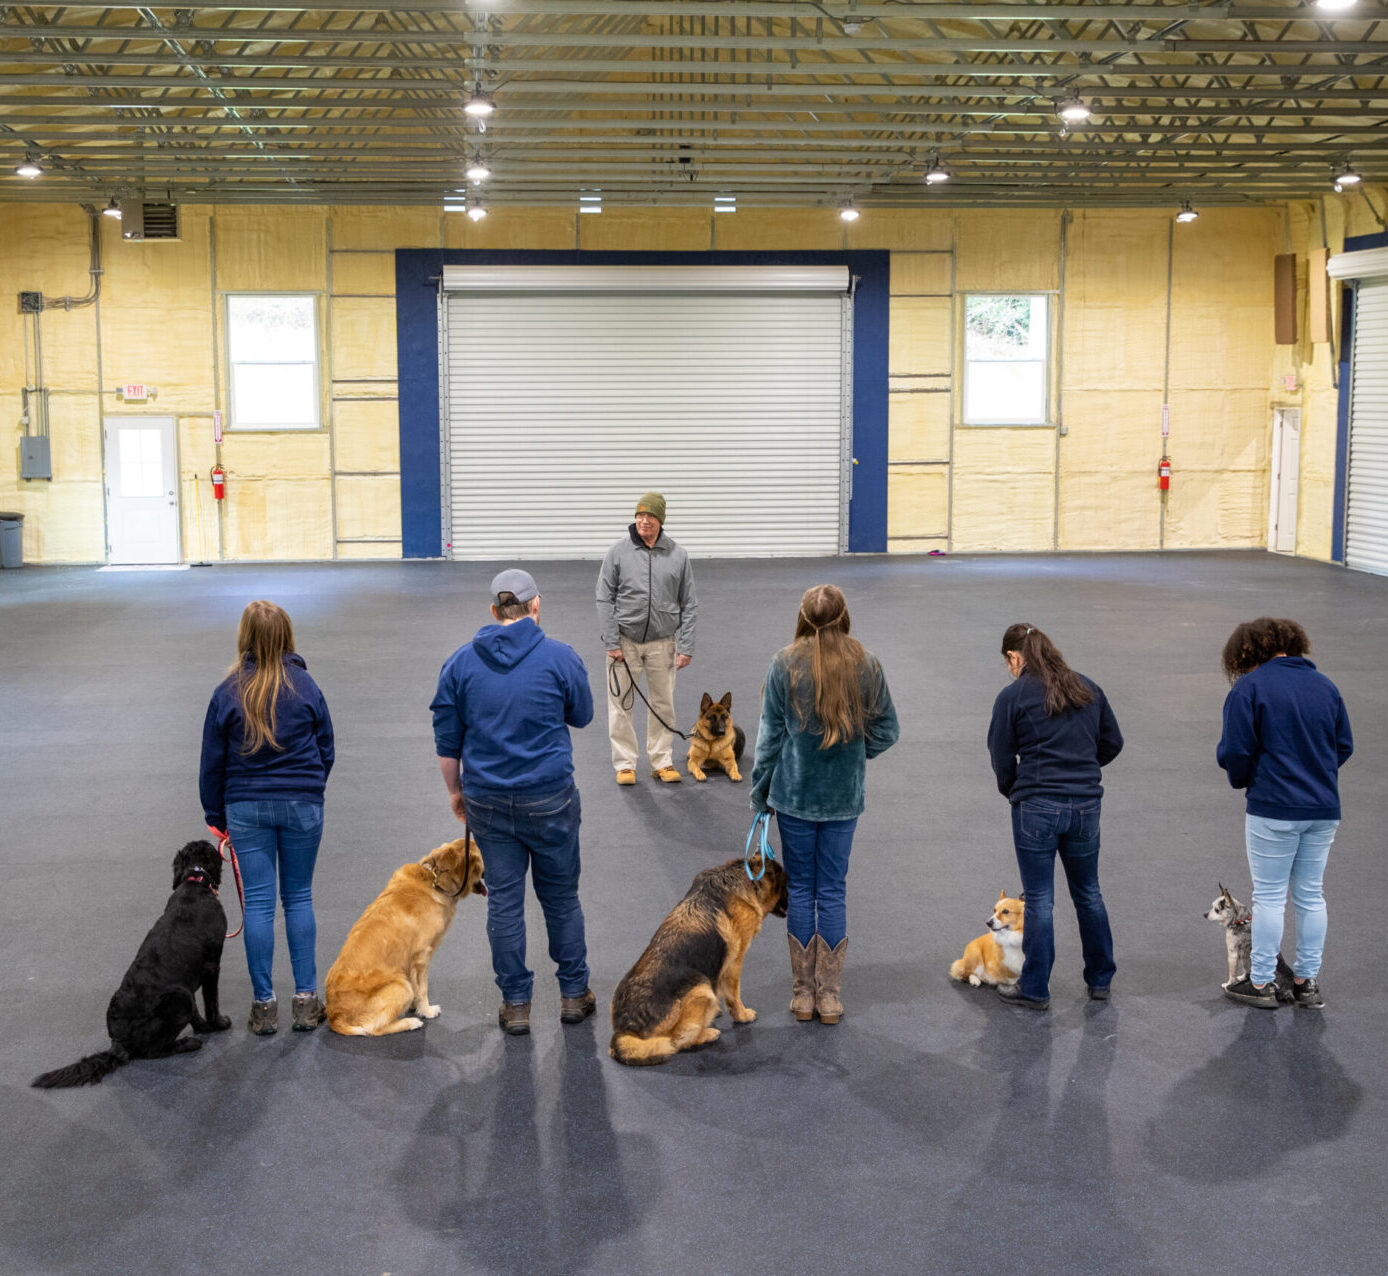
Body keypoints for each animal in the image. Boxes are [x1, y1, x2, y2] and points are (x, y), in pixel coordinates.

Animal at [31, 838, 233, 1088]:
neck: (195, 881)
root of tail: (117, 1043)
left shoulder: (188, 979)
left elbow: (197, 1010)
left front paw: (203, 1027)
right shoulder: (211, 966)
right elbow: (211, 1002)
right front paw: (219, 1024)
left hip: (181, 993)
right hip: (179, 998)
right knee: (154, 1051)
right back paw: (188, 1043)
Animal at [323, 838, 485, 1038]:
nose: (489, 873)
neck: (434, 880)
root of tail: (334, 1016)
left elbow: (418, 988)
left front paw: (416, 1006)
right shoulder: (422, 957)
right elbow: (422, 989)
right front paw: (426, 1011)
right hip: (400, 986)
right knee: (375, 1029)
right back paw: (410, 1022)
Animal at [610, 860, 788, 1066]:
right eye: (787, 886)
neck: (747, 876)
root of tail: (624, 1032)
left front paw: (716, 1012)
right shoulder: (735, 963)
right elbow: (734, 996)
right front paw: (742, 1016)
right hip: (701, 988)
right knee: (679, 1039)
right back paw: (707, 1033)